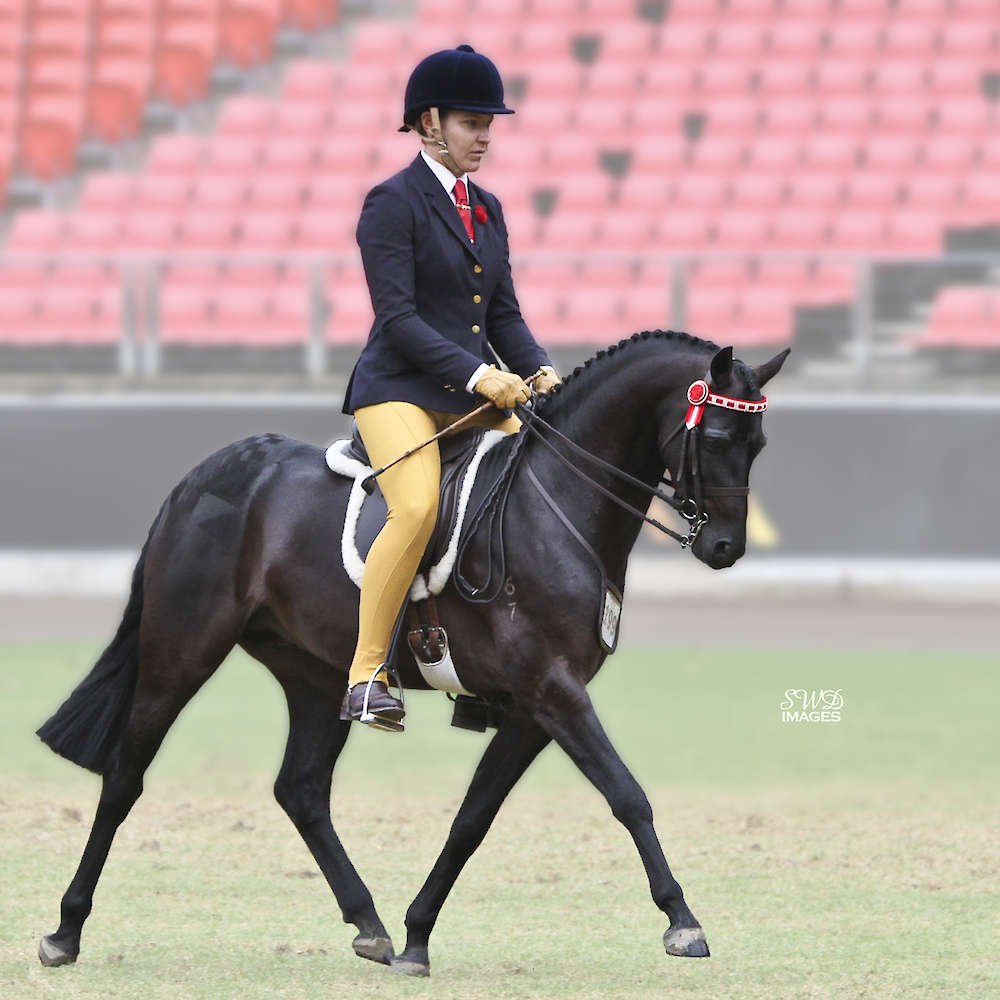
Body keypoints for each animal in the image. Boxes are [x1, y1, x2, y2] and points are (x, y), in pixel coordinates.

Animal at [37, 332, 788, 972]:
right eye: (716, 434)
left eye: (759, 443)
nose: (726, 546)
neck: (559, 504)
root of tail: (210, 472)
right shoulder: (553, 690)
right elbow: (628, 796)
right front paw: (682, 921)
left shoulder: (534, 706)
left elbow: (472, 818)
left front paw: (417, 935)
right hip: (181, 650)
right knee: (125, 777)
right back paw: (65, 930)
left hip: (317, 675)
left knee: (300, 790)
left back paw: (369, 924)